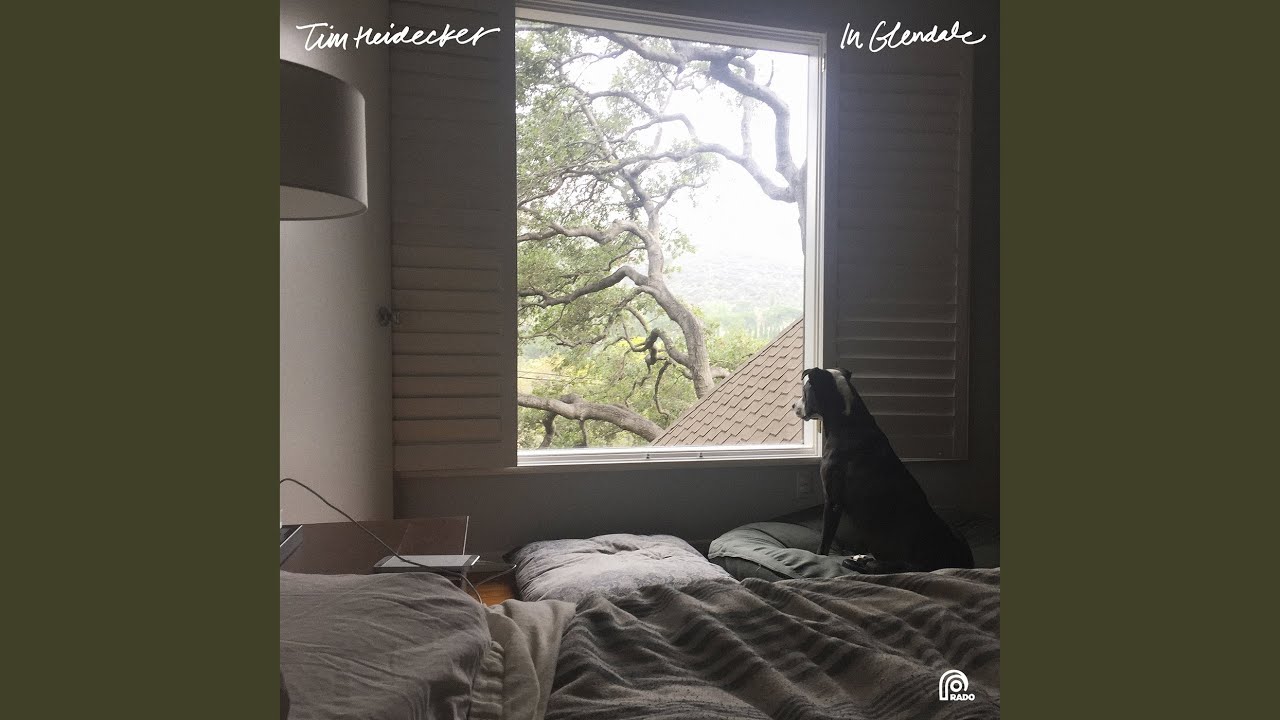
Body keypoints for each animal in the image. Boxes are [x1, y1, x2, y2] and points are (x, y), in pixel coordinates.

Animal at [792, 367, 974, 573]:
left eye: (805, 391)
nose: (793, 405)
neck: (847, 422)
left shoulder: (833, 501)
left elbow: (825, 539)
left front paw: (819, 556)